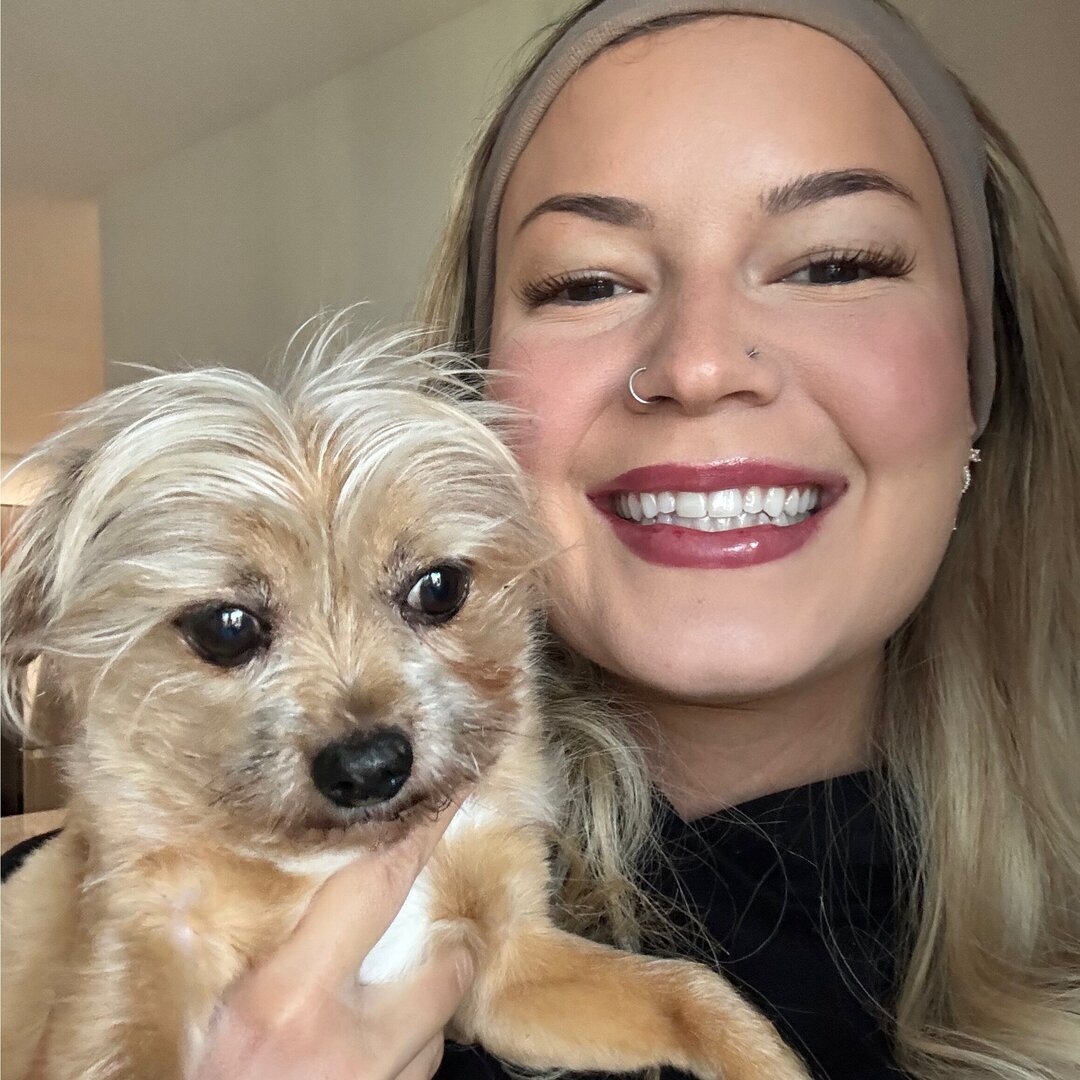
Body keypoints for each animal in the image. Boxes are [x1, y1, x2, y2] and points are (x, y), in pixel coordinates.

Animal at [1, 326, 808, 1080]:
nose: (369, 768)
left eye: (440, 587)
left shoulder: (507, 969)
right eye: (224, 627)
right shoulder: (143, 951)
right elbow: (122, 1053)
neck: (335, 856)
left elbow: (689, 991)